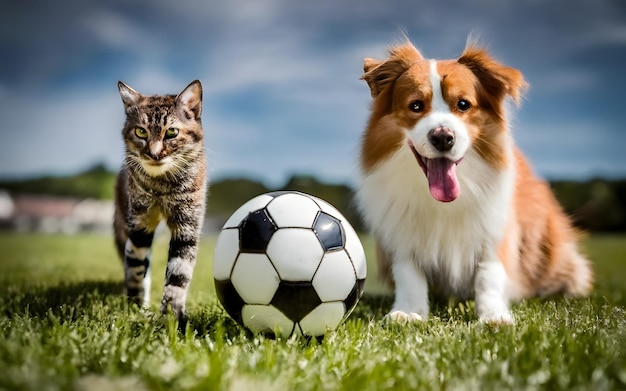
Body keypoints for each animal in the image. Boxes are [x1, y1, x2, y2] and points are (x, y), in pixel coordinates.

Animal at [113, 78, 206, 324]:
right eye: (140, 131)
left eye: (171, 132)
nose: (154, 154)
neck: (162, 185)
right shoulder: (139, 224)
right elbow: (135, 264)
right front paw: (136, 304)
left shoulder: (187, 226)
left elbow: (178, 274)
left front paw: (172, 317)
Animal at [356, 41, 588, 326]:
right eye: (416, 106)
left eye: (464, 104)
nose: (443, 137)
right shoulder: (402, 234)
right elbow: (410, 275)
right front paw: (410, 312)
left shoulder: (493, 229)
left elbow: (489, 275)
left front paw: (494, 316)